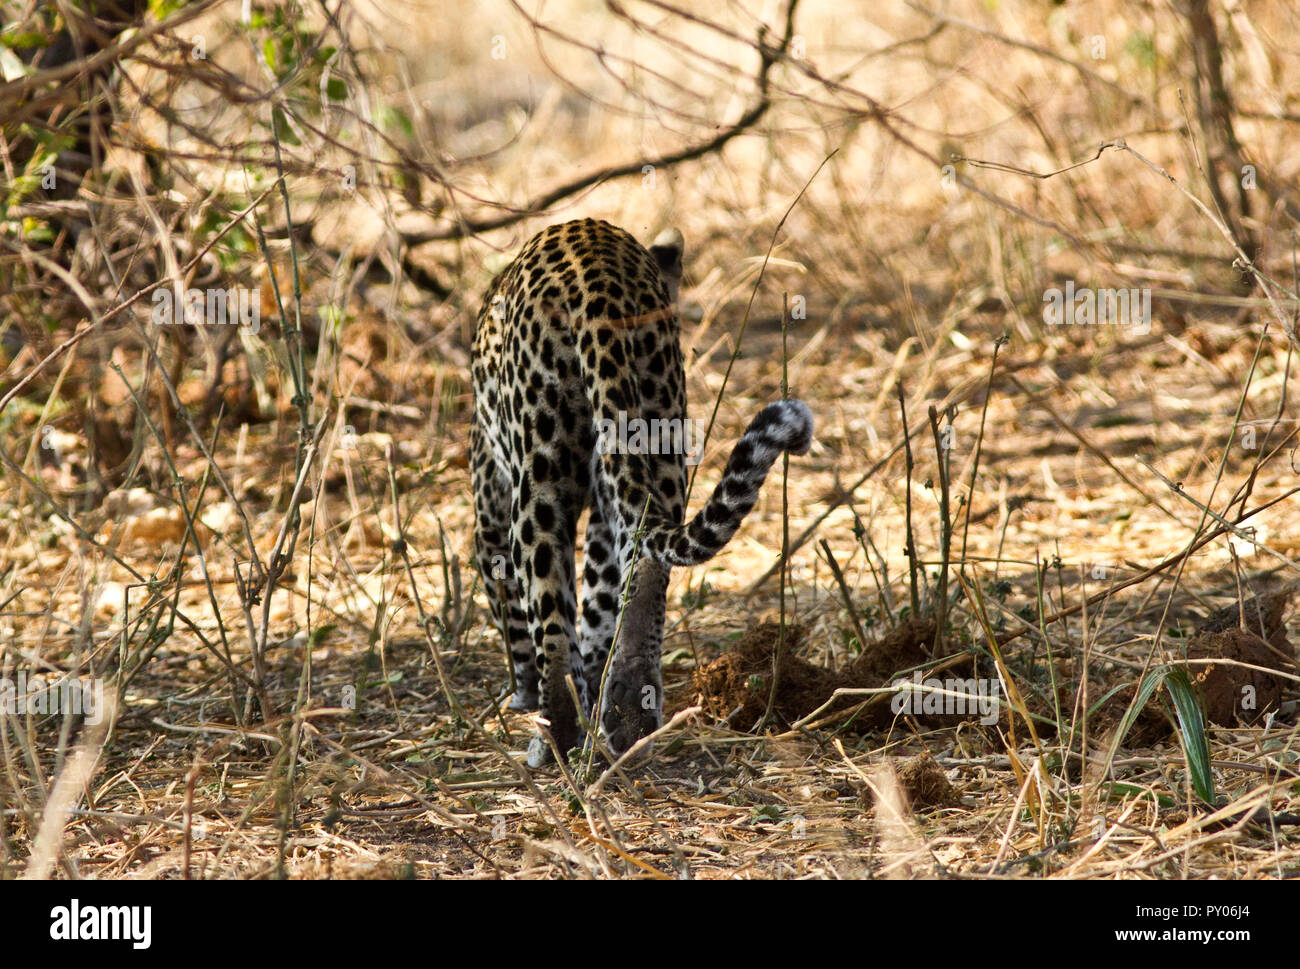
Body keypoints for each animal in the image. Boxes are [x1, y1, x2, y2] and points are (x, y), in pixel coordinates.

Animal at [467, 217, 811, 764]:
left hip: (538, 479)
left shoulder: (490, 505)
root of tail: (597, 273)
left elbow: (516, 617)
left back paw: (553, 737)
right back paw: (629, 715)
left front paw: (521, 694)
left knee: (552, 615)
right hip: (657, 431)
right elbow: (599, 605)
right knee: (643, 574)